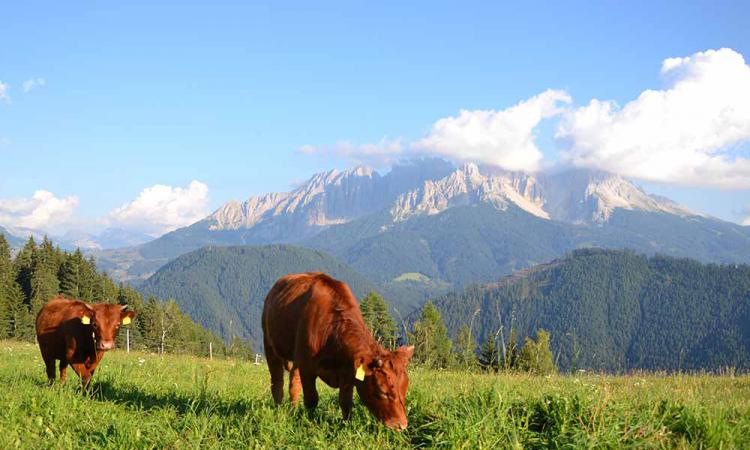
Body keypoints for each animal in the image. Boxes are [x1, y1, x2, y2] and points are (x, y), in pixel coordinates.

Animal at [262, 272, 418, 430]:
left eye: (405, 387)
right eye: (382, 391)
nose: (402, 425)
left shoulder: (347, 372)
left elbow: (345, 402)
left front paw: (346, 425)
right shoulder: (307, 367)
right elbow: (311, 399)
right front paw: (311, 423)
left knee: (293, 380)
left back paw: (293, 409)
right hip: (269, 345)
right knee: (277, 382)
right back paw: (279, 409)